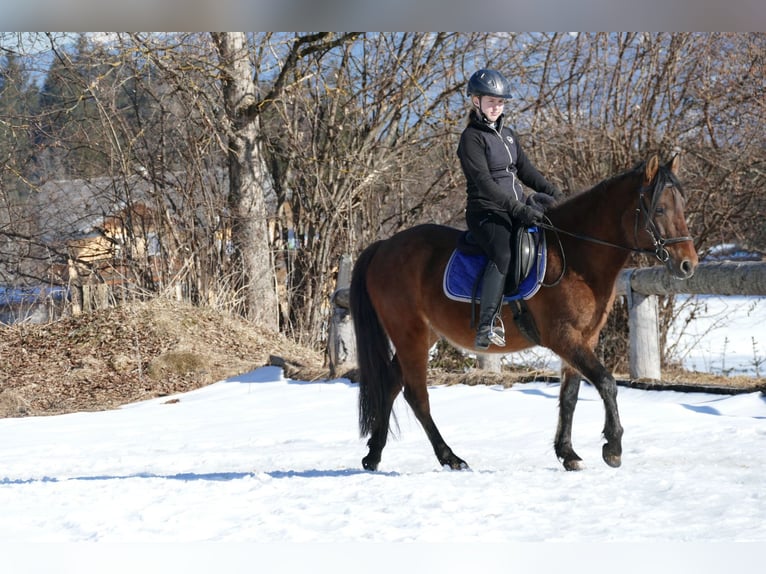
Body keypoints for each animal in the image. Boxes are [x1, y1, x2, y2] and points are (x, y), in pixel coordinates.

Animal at [352, 154, 700, 472]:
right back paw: (450, 457)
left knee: (392, 384)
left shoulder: (582, 339)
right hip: (409, 333)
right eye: (659, 209)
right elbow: (606, 382)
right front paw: (612, 448)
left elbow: (570, 396)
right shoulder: (563, 337)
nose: (688, 265)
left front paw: (568, 454)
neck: (575, 256)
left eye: (683, 205)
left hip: (425, 334)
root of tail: (383, 246)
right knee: (416, 394)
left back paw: (374, 455)